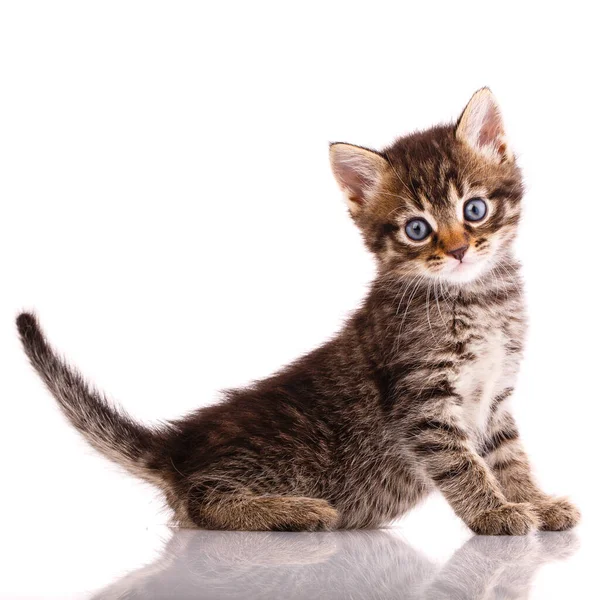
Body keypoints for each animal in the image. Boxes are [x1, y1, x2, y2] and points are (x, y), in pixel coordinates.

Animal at [16, 88, 580, 536]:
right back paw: (293, 511)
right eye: (416, 229)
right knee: (200, 505)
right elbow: (464, 466)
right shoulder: (423, 404)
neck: (477, 299)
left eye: (474, 209)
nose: (460, 250)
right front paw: (493, 513)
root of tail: (178, 449)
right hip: (278, 458)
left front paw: (535, 502)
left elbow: (509, 458)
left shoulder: (496, 400)